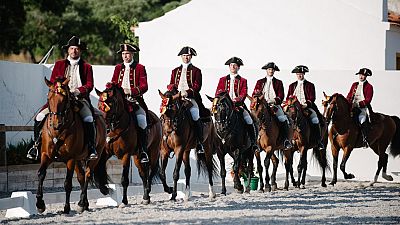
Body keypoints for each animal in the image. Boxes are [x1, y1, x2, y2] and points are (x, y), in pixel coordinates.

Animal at [37, 78, 108, 214]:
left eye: (65, 99)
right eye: (49, 98)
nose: (56, 124)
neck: (58, 131)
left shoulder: (70, 158)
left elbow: (67, 183)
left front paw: (66, 208)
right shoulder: (45, 155)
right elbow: (41, 174)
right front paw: (40, 204)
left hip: (94, 155)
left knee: (87, 174)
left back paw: (81, 203)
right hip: (78, 159)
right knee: (81, 176)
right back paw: (85, 204)